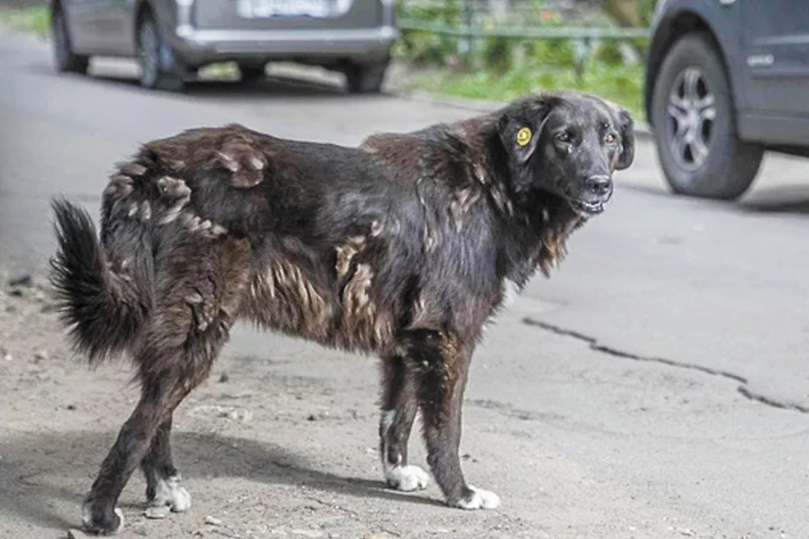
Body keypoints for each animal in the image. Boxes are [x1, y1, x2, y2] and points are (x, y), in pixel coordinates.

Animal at [50, 90, 636, 532]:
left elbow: (397, 418)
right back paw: (100, 512)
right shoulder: (448, 337)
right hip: (199, 326)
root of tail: (146, 168)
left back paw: (165, 489)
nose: (600, 184)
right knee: (140, 422)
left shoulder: (409, 340)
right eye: (564, 138)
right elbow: (446, 429)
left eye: (608, 138)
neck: (494, 182)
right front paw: (460, 494)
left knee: (157, 413)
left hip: (184, 328)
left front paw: (397, 477)